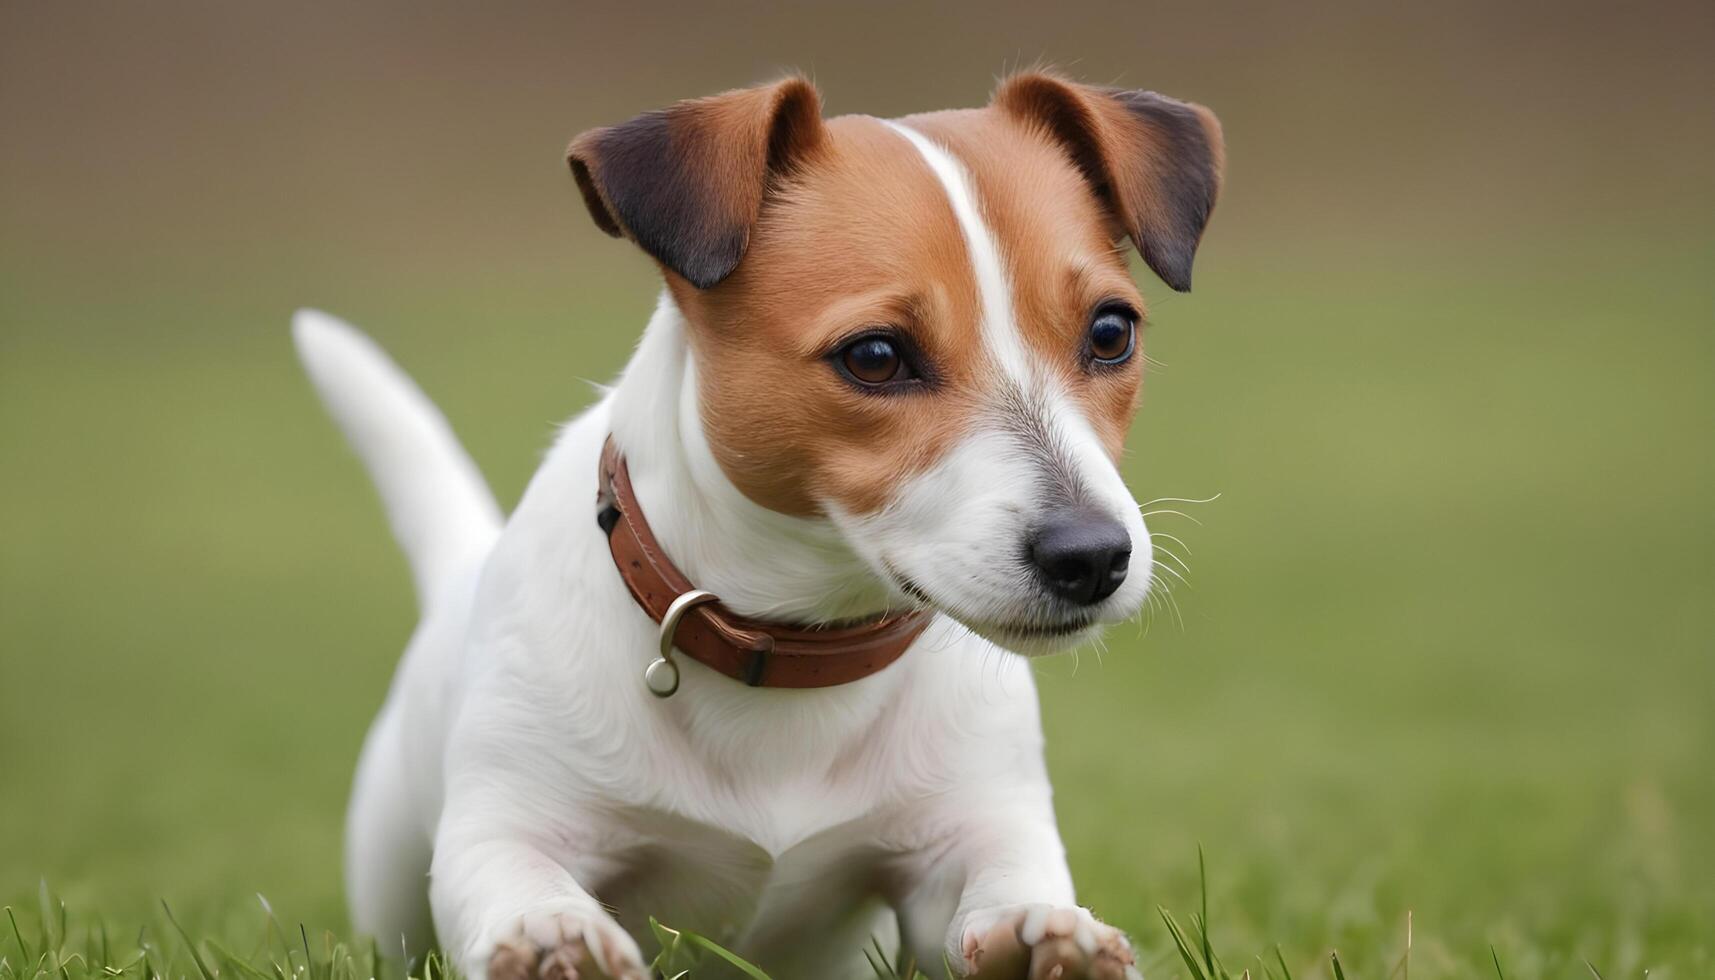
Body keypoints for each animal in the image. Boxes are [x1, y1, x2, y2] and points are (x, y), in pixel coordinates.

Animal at [294, 74, 1221, 980]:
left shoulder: (970, 829)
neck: (797, 655)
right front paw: (552, 936)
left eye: (1110, 332)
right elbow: (516, 881)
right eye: (874, 356)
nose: (1090, 557)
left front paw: (1039, 934)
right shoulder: (505, 828)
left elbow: (1002, 883)